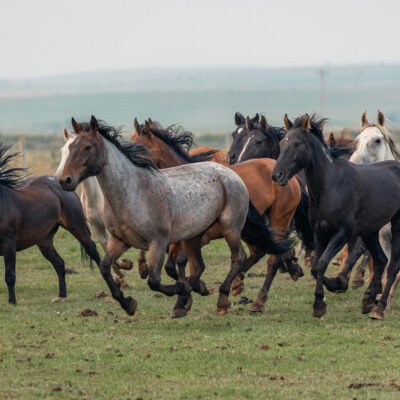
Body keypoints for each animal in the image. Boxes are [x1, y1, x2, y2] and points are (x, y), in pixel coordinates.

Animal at [0, 144, 101, 304]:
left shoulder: (8, 244)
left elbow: (10, 275)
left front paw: (12, 303)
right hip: (44, 241)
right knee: (59, 263)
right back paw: (61, 296)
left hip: (77, 226)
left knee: (93, 250)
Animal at [132, 119, 310, 312]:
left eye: (142, 148)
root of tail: (287, 176)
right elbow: (172, 266)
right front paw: (190, 294)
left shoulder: (201, 238)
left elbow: (183, 262)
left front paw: (191, 293)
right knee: (259, 252)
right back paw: (239, 284)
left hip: (277, 221)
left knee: (271, 258)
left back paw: (257, 300)